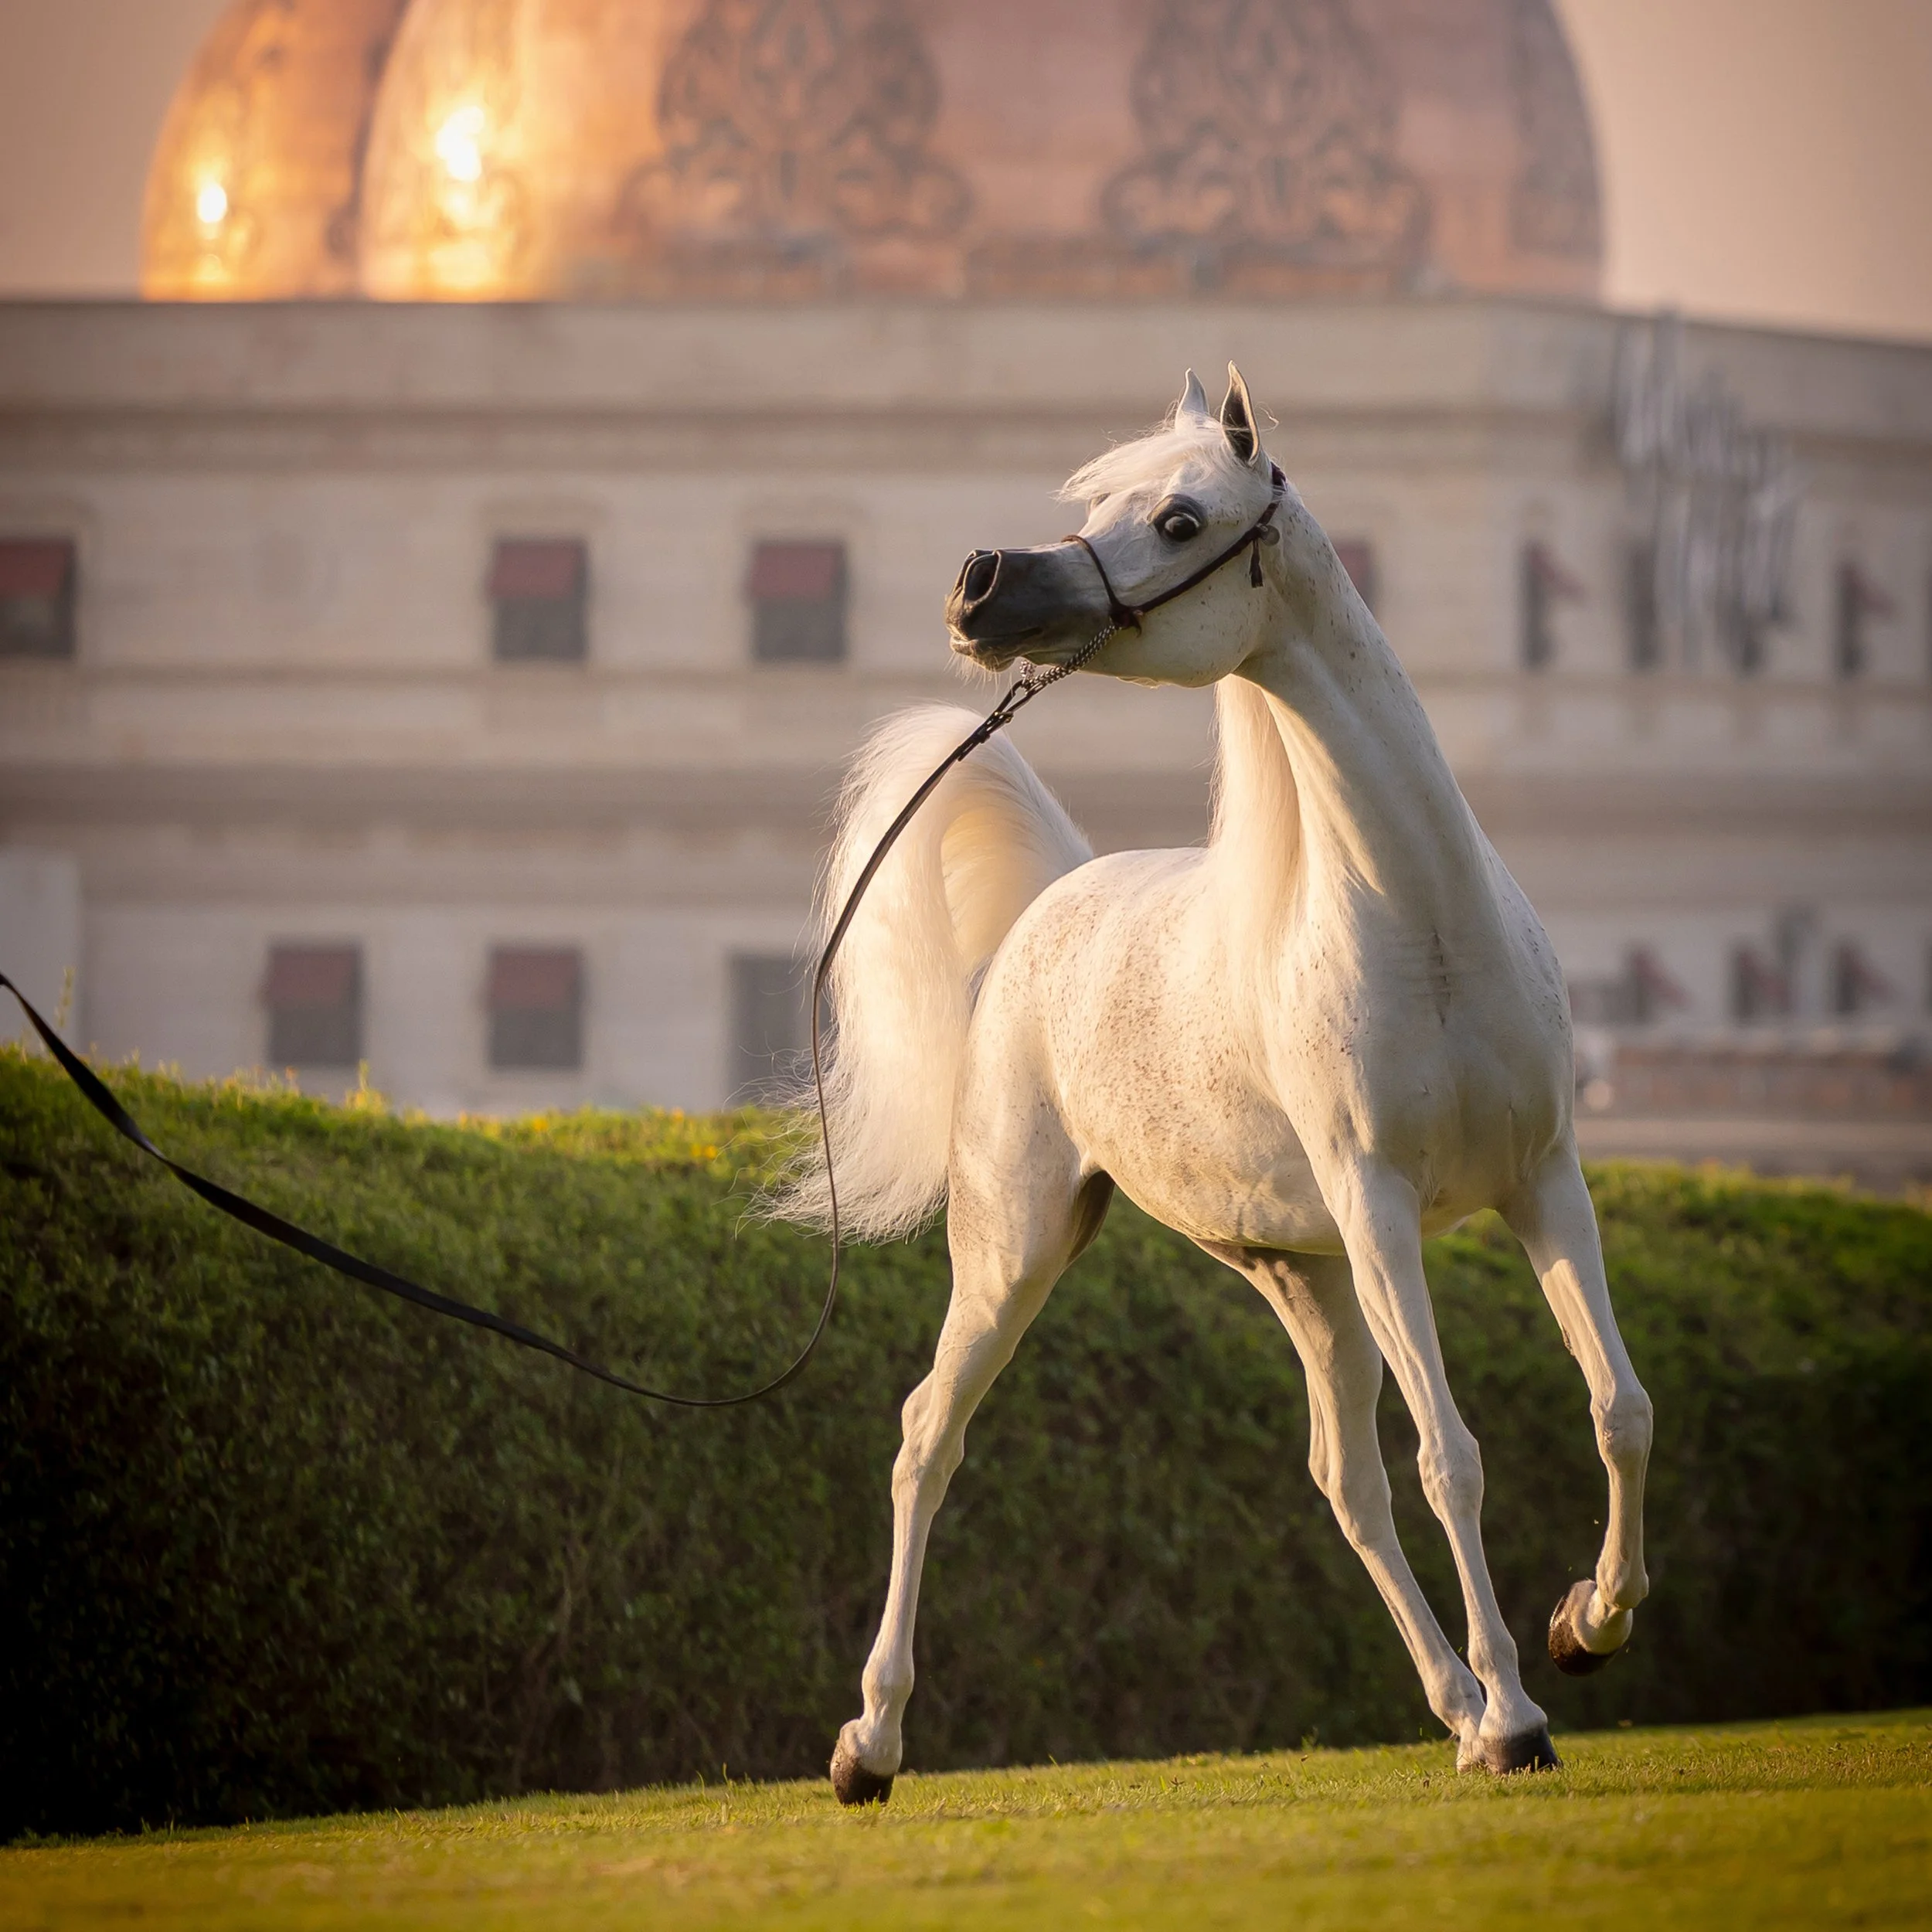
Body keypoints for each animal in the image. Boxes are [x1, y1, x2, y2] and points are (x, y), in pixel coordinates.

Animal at [777, 366, 1653, 1805]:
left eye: (1181, 518)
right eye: (1103, 504)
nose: (981, 585)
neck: (1422, 925)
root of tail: (1055, 900)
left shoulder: (1542, 1186)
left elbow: (1617, 1409)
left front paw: (1590, 1625)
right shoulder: (1384, 1210)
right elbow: (1455, 1459)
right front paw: (1528, 1717)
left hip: (1305, 1278)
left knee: (1345, 1479)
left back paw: (1456, 1706)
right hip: (1016, 1250)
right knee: (926, 1440)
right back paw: (871, 1743)